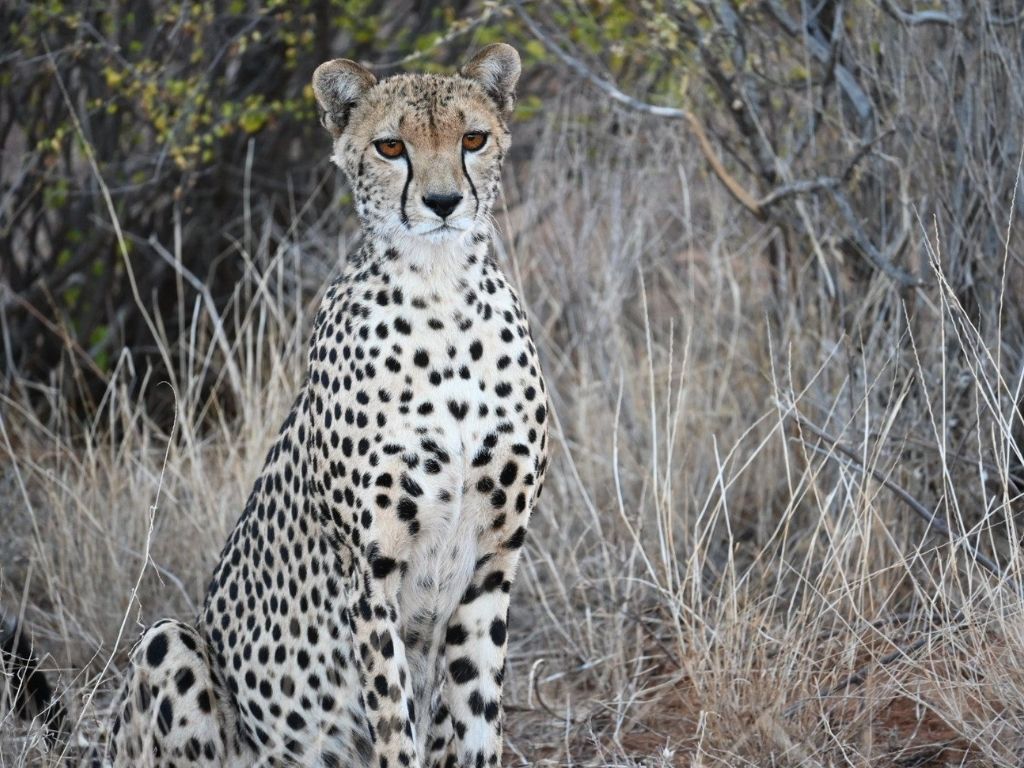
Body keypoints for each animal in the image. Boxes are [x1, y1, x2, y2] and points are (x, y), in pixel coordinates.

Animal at [104, 42, 549, 768]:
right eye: (392, 146)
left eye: (473, 139)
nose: (444, 201)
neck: (443, 292)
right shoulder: (368, 572)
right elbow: (395, 724)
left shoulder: (493, 563)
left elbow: (477, 715)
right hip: (170, 642)